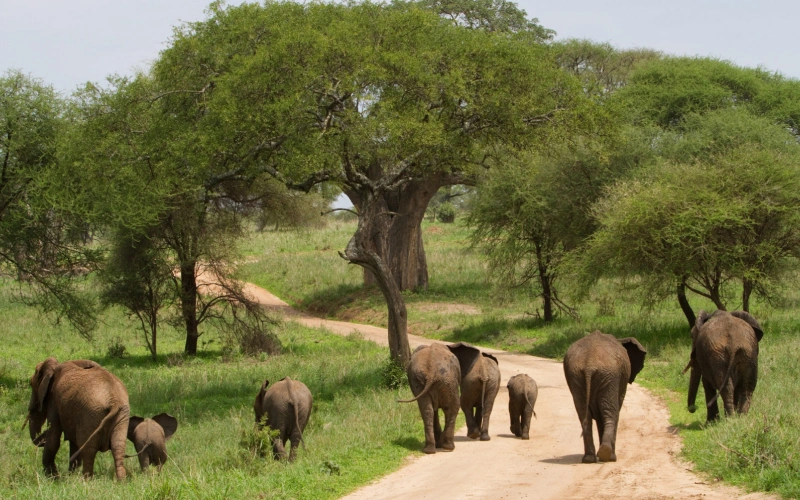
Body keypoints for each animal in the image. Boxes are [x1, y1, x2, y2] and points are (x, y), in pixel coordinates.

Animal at [563, 331, 646, 463]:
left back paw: (590, 458)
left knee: (584, 415)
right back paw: (610, 456)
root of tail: (589, 364)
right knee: (611, 413)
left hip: (576, 376)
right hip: (609, 375)